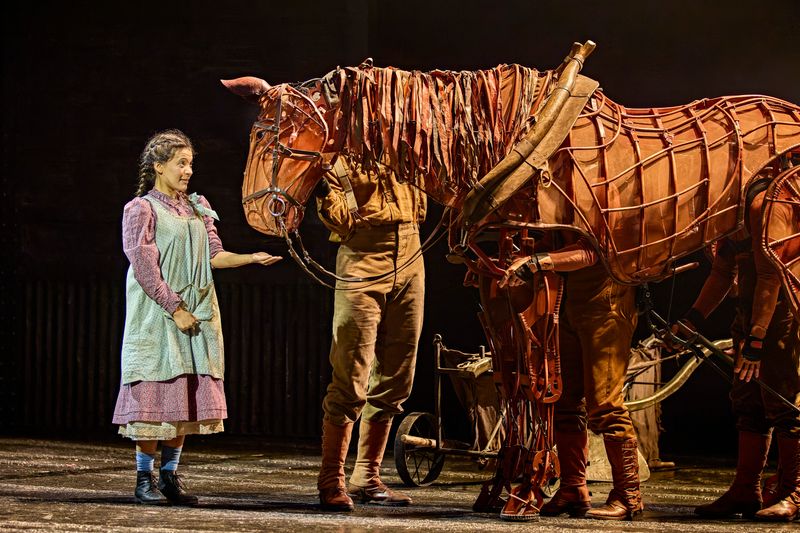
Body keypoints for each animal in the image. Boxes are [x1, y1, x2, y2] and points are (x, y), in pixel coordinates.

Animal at [223, 41, 800, 520]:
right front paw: (510, 489)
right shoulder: (493, 279)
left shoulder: (529, 269)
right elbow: (513, 381)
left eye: (270, 133)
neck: (510, 136)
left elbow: (536, 383)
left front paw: (524, 495)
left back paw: (772, 503)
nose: (260, 214)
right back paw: (747, 500)